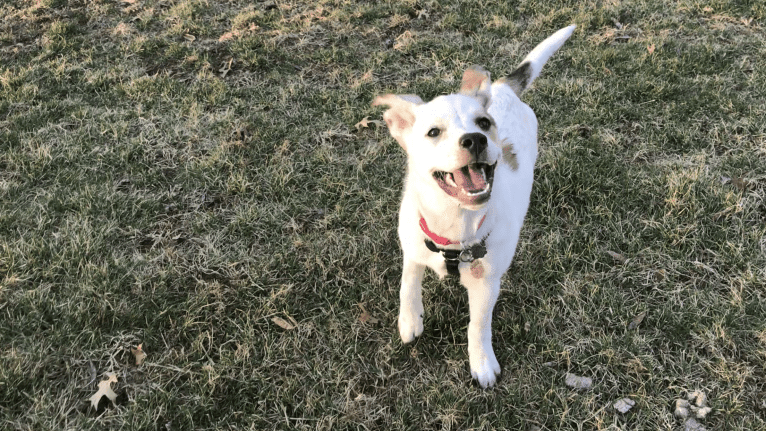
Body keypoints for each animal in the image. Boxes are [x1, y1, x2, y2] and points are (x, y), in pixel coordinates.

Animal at [376, 26, 580, 388]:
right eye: (433, 132)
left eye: (484, 123)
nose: (475, 139)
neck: (454, 225)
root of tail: (500, 88)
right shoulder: (412, 246)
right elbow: (408, 282)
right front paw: (410, 318)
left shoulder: (486, 284)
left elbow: (478, 325)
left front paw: (482, 361)